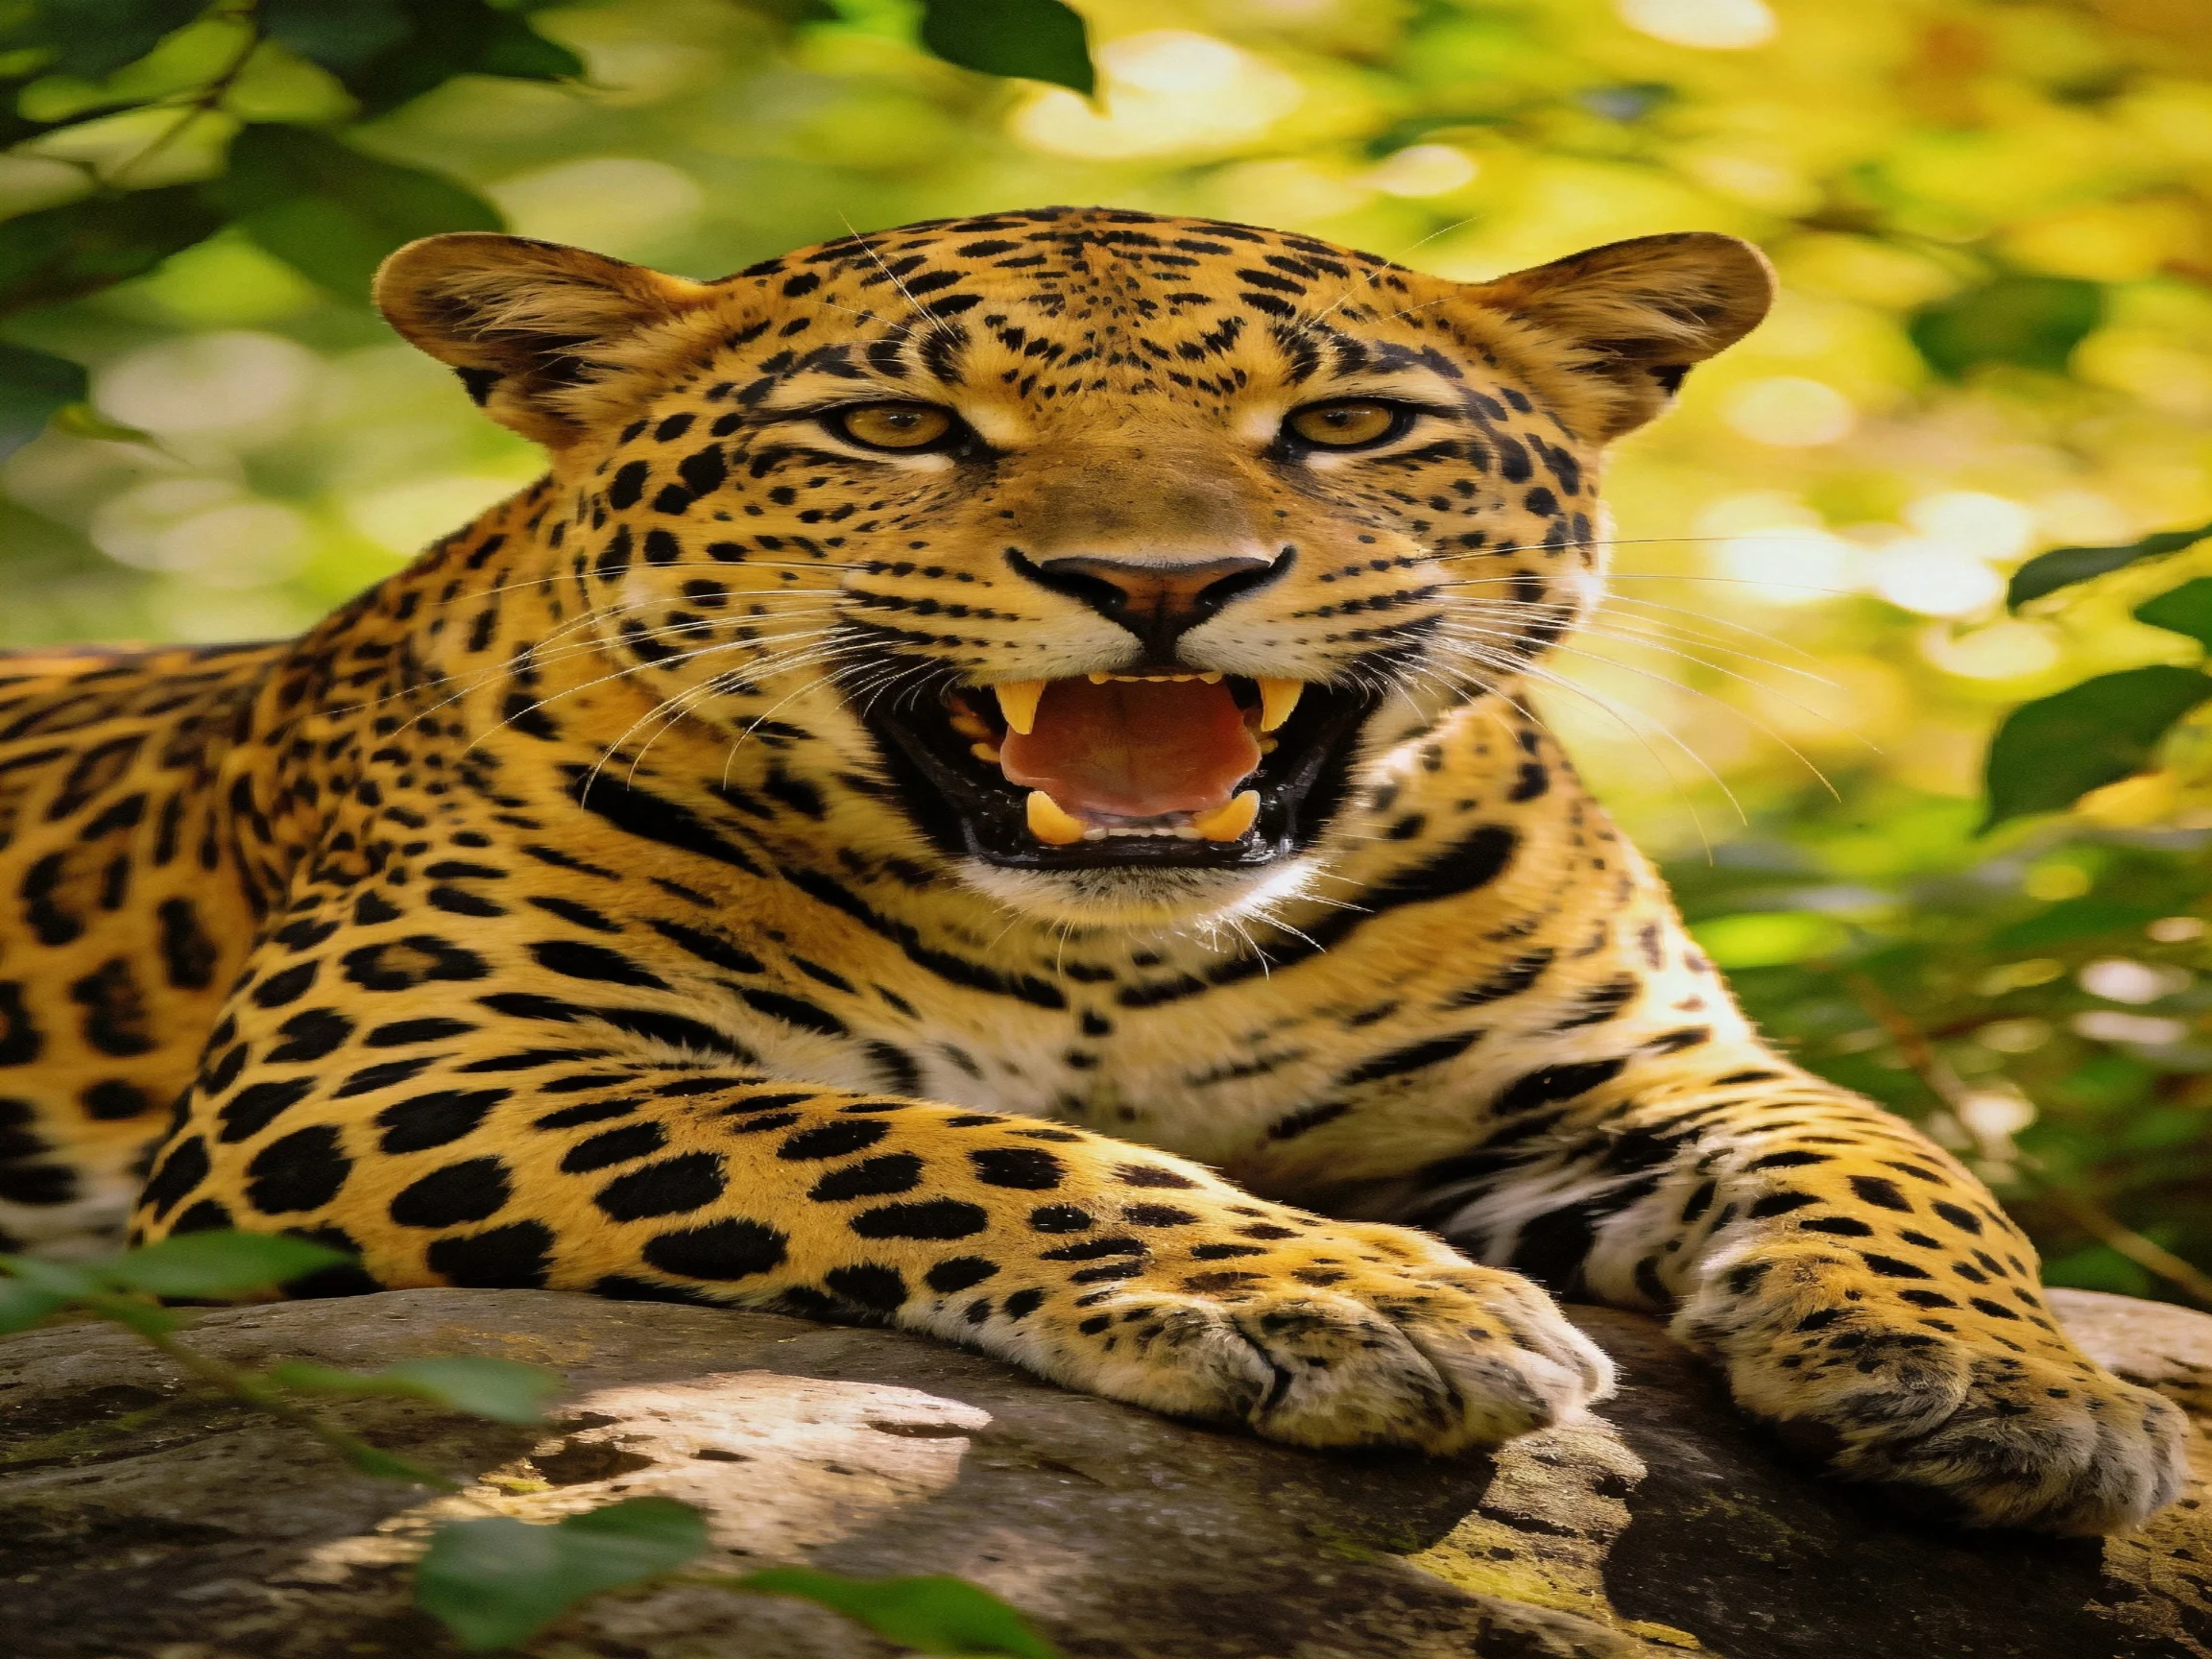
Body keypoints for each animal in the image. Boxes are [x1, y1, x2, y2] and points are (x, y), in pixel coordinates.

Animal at [0, 206, 2186, 1537]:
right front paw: (1346, 1301)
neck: (1110, 964)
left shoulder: (1634, 1066)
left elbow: (1897, 1157)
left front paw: (2006, 1382)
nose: (1158, 584)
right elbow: (909, 1137)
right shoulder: (394, 1063)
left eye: (1346, 421)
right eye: (894, 424)